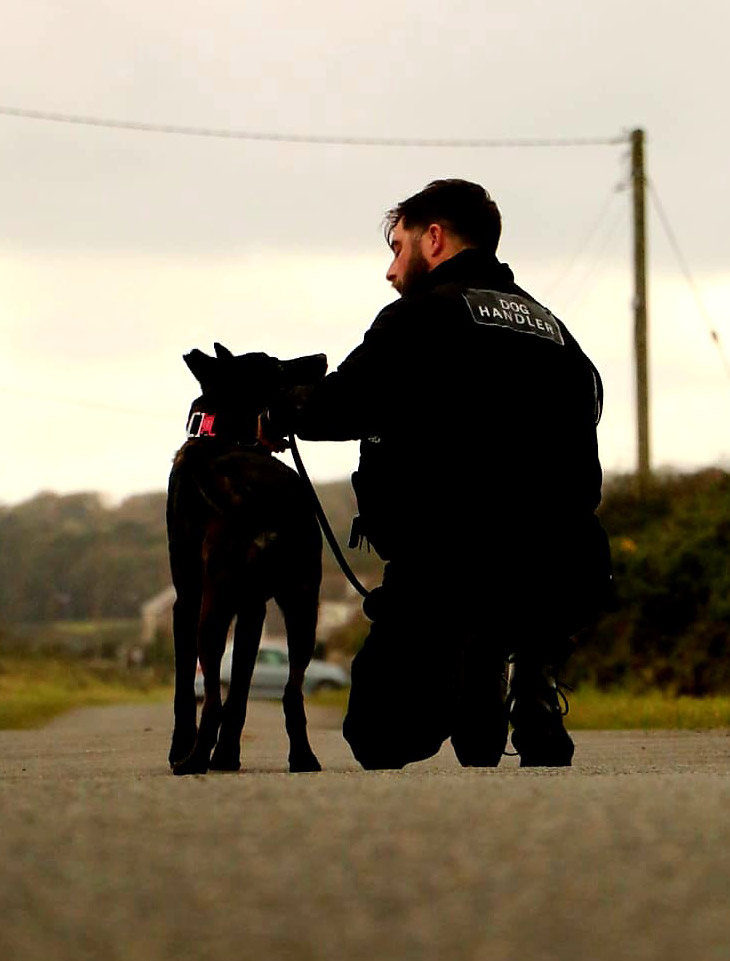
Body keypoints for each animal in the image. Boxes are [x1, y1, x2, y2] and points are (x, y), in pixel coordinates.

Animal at [166, 342, 326, 776]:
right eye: (276, 366)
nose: (323, 359)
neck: (222, 435)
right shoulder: (255, 608)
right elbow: (239, 690)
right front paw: (228, 756)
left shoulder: (187, 600)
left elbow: (187, 689)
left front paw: (183, 749)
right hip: (303, 603)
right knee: (292, 691)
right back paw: (303, 757)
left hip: (214, 605)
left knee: (211, 698)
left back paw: (193, 760)